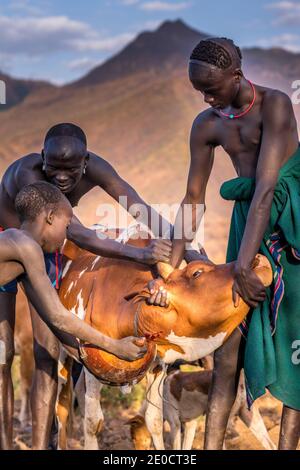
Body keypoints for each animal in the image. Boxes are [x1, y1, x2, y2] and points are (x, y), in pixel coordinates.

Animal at [55, 222, 272, 450]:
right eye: (197, 272)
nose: (258, 260)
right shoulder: (91, 367)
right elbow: (92, 421)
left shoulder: (157, 366)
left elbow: (155, 421)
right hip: (62, 352)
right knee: (62, 403)